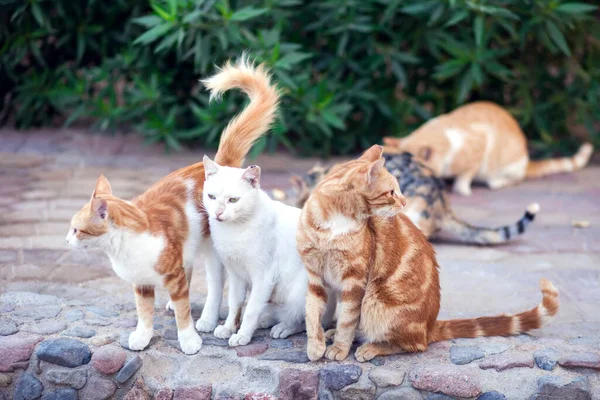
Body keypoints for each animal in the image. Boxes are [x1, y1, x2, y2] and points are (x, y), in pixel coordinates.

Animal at [65, 56, 278, 354]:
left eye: (76, 230)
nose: (66, 239)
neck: (122, 249)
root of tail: (222, 166)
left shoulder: (174, 276)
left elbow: (183, 311)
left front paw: (188, 339)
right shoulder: (142, 283)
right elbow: (144, 312)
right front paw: (143, 336)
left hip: (212, 251)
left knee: (215, 286)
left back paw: (208, 319)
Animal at [203, 156, 338, 346]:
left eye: (233, 200)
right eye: (212, 197)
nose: (218, 213)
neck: (234, 230)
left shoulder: (263, 277)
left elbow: (251, 310)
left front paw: (242, 335)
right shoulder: (236, 275)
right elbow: (235, 304)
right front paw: (229, 327)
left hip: (301, 291)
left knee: (306, 322)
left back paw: (283, 328)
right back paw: (267, 319)